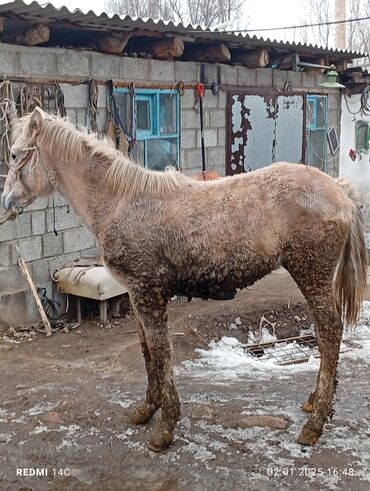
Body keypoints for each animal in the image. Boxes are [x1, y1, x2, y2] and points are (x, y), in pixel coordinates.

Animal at [1, 108, 368, 454]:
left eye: (16, 154)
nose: (7, 202)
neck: (121, 201)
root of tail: (339, 190)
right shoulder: (136, 293)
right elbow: (147, 350)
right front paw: (146, 410)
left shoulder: (147, 292)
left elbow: (161, 352)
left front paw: (165, 429)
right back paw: (314, 404)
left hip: (312, 274)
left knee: (329, 332)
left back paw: (315, 423)